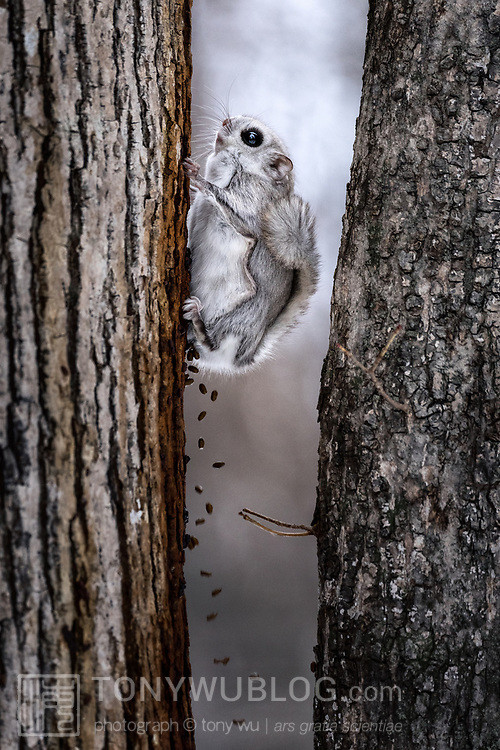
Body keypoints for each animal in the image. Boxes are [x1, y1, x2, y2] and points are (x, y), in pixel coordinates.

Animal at [182, 115, 319, 374]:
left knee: (215, 342)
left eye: (252, 137)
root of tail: (239, 359)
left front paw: (197, 178)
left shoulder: (253, 209)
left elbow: (228, 205)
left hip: (241, 315)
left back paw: (199, 322)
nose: (225, 120)